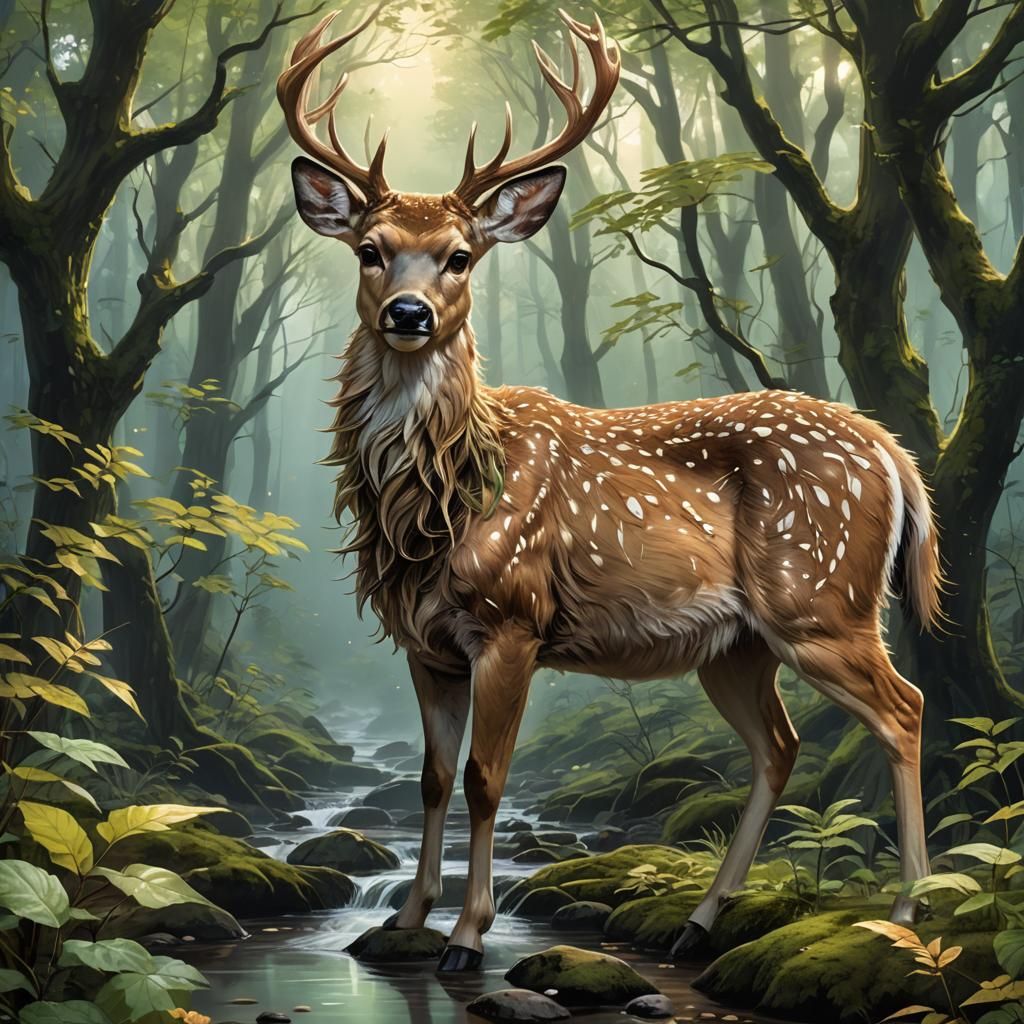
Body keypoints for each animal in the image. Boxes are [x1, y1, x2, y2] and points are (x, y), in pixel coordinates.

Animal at [278, 8, 941, 973]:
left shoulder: (513, 618)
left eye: (460, 257)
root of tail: (895, 455)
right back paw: (700, 922)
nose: (409, 314)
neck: (435, 507)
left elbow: (485, 777)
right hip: (737, 645)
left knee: (906, 709)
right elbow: (430, 778)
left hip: (821, 599)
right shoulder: (425, 643)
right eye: (370, 251)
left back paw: (911, 905)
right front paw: (401, 921)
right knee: (778, 747)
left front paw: (468, 937)